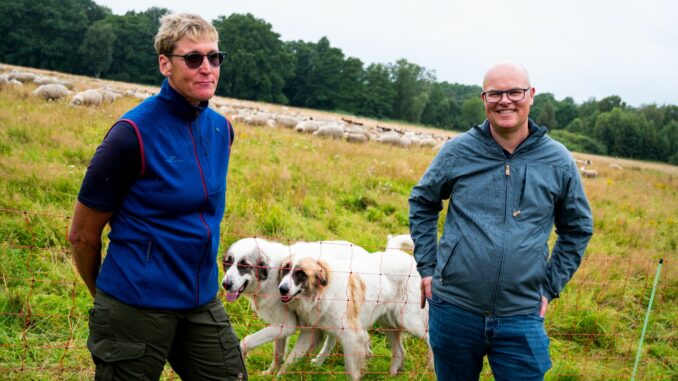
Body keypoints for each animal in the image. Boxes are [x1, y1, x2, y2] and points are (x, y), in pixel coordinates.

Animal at [223, 236, 370, 372]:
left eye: (244, 265)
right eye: (228, 263)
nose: (225, 284)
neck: (271, 276)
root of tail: (364, 251)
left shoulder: (287, 325)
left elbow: (248, 340)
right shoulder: (280, 326)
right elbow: (278, 353)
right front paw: (270, 373)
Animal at [276, 246, 430, 378]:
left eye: (301, 274)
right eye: (285, 269)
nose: (282, 289)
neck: (321, 293)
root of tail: (412, 260)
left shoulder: (353, 337)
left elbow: (351, 370)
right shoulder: (310, 332)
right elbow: (290, 360)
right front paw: (276, 376)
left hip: (411, 322)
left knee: (430, 340)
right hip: (388, 324)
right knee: (399, 352)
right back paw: (391, 375)